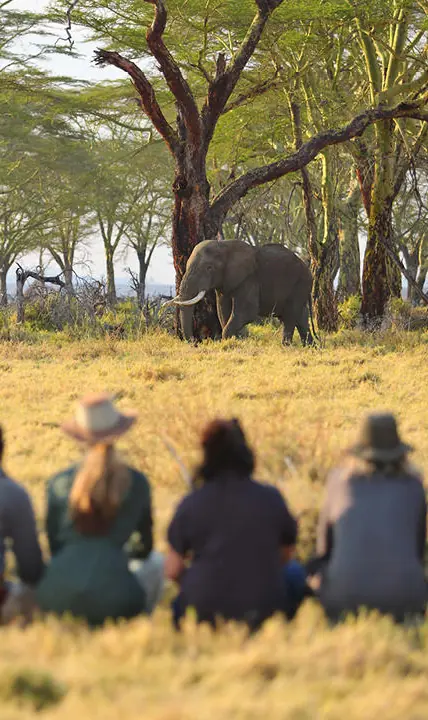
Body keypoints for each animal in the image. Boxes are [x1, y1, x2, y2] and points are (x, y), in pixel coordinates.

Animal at [167, 240, 315, 345]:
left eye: (209, 268)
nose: (195, 342)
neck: (224, 245)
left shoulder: (249, 279)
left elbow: (247, 312)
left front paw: (228, 342)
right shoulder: (224, 284)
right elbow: (222, 311)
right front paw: (234, 342)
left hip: (300, 285)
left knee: (290, 317)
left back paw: (286, 346)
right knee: (301, 317)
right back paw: (310, 347)